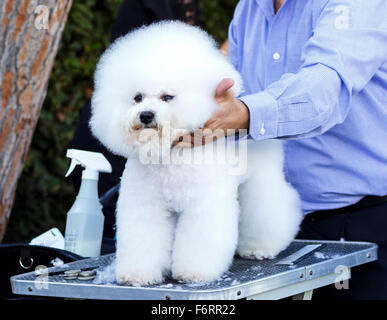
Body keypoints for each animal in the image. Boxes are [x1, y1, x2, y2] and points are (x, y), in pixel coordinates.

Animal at [90, 20, 304, 284]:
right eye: (137, 97)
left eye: (167, 97)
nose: (146, 115)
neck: (170, 157)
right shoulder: (146, 205)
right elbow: (143, 239)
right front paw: (138, 275)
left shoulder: (203, 204)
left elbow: (200, 240)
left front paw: (194, 272)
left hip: (260, 183)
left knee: (272, 209)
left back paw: (259, 248)